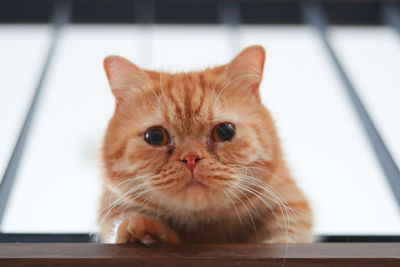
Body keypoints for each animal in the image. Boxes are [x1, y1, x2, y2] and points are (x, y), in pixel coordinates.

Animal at [97, 46, 312, 245]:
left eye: (224, 131)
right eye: (156, 136)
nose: (191, 158)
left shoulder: (290, 206)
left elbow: (284, 237)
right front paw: (143, 233)